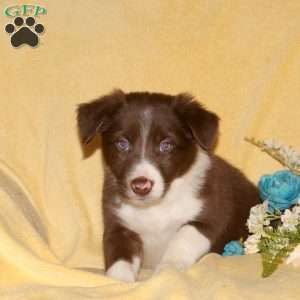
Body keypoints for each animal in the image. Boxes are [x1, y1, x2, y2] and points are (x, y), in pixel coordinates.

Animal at [77, 90, 260, 282]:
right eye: (122, 144)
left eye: (166, 145)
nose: (141, 186)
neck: (155, 206)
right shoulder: (119, 228)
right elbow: (119, 258)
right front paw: (119, 281)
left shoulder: (209, 219)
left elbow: (182, 238)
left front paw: (168, 270)